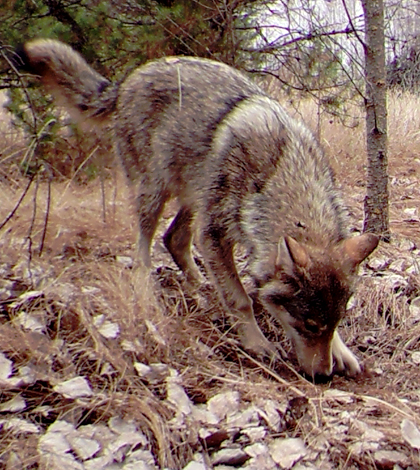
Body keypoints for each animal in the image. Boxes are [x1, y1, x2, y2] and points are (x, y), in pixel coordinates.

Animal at [15, 39, 378, 378]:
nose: (323, 375)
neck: (280, 170)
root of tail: (130, 76)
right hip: (156, 192)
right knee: (144, 246)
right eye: (309, 324)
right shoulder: (213, 234)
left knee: (174, 239)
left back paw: (201, 286)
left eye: (334, 323)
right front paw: (257, 344)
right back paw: (147, 287)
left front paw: (342, 353)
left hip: (195, 197)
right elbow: (241, 300)